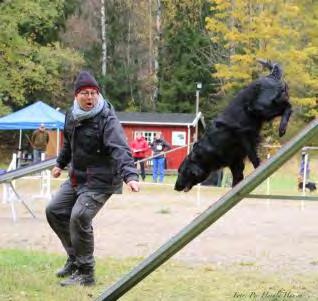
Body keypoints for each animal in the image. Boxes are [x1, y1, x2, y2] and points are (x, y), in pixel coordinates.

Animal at [175, 60, 292, 191]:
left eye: (181, 172)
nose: (175, 187)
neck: (210, 147)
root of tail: (270, 76)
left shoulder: (243, 135)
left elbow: (252, 155)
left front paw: (258, 167)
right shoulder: (235, 162)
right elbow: (237, 179)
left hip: (260, 107)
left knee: (288, 106)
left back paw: (282, 128)